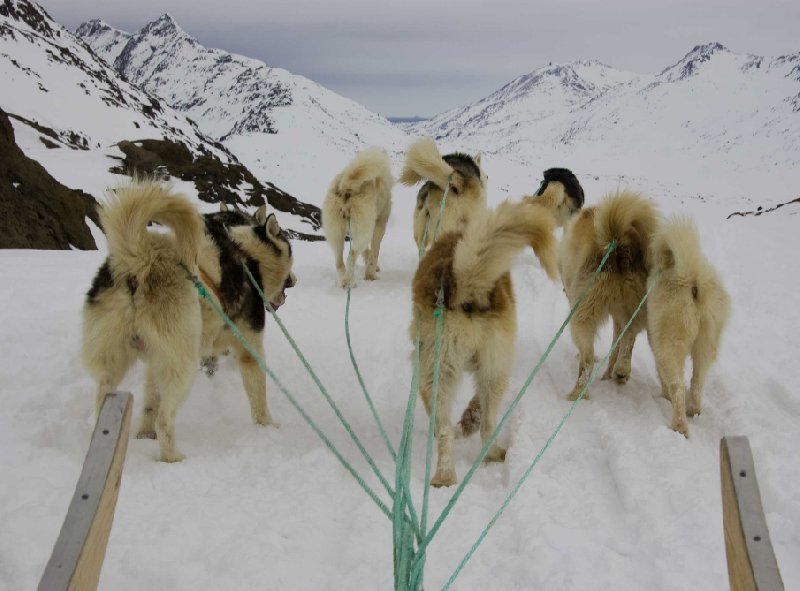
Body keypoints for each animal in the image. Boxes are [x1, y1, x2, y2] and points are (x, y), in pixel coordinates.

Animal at [81, 180, 296, 462]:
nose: (294, 281)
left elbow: (150, 402)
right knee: (165, 419)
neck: (250, 254)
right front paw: (267, 426)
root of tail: (142, 257)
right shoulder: (249, 348)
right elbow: (258, 395)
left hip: (116, 363)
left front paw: (144, 434)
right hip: (183, 363)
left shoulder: (156, 360)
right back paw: (172, 457)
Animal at [320, 146, 392, 290]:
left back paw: (346, 281)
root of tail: (346, 186)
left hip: (336, 234)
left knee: (339, 262)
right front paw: (371, 275)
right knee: (351, 256)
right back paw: (349, 282)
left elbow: (368, 252)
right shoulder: (379, 225)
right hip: (364, 231)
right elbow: (375, 252)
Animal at [412, 199, 556, 486]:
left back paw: (447, 473)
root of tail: (461, 284)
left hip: (437, 373)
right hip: (487, 372)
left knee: (445, 429)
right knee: (482, 425)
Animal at [560, 190, 660, 402]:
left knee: (587, 359)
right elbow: (617, 342)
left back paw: (578, 393)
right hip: (636, 306)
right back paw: (621, 370)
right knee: (629, 336)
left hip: (583, 314)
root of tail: (617, 246)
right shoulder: (619, 316)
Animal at [648, 216, 732, 434]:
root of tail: (692, 280)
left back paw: (679, 426)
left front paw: (664, 395)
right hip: (707, 344)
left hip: (670, 345)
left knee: (677, 386)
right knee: (697, 381)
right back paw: (694, 410)